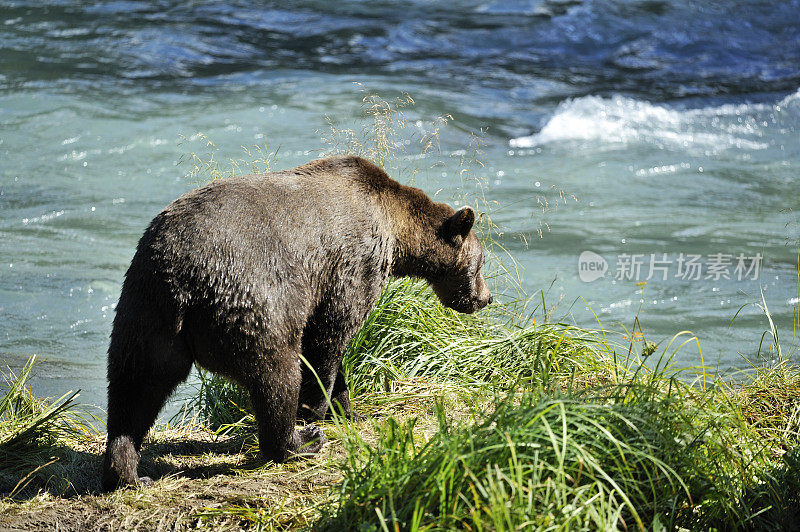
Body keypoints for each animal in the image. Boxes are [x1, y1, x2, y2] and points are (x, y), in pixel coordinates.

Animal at [102, 154, 490, 490]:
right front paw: (316, 409)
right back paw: (298, 442)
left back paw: (128, 472)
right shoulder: (353, 264)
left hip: (144, 308)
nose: (485, 298)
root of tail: (182, 280)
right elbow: (331, 335)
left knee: (134, 388)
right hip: (252, 300)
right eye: (481, 262)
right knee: (277, 374)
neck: (395, 230)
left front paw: (348, 410)